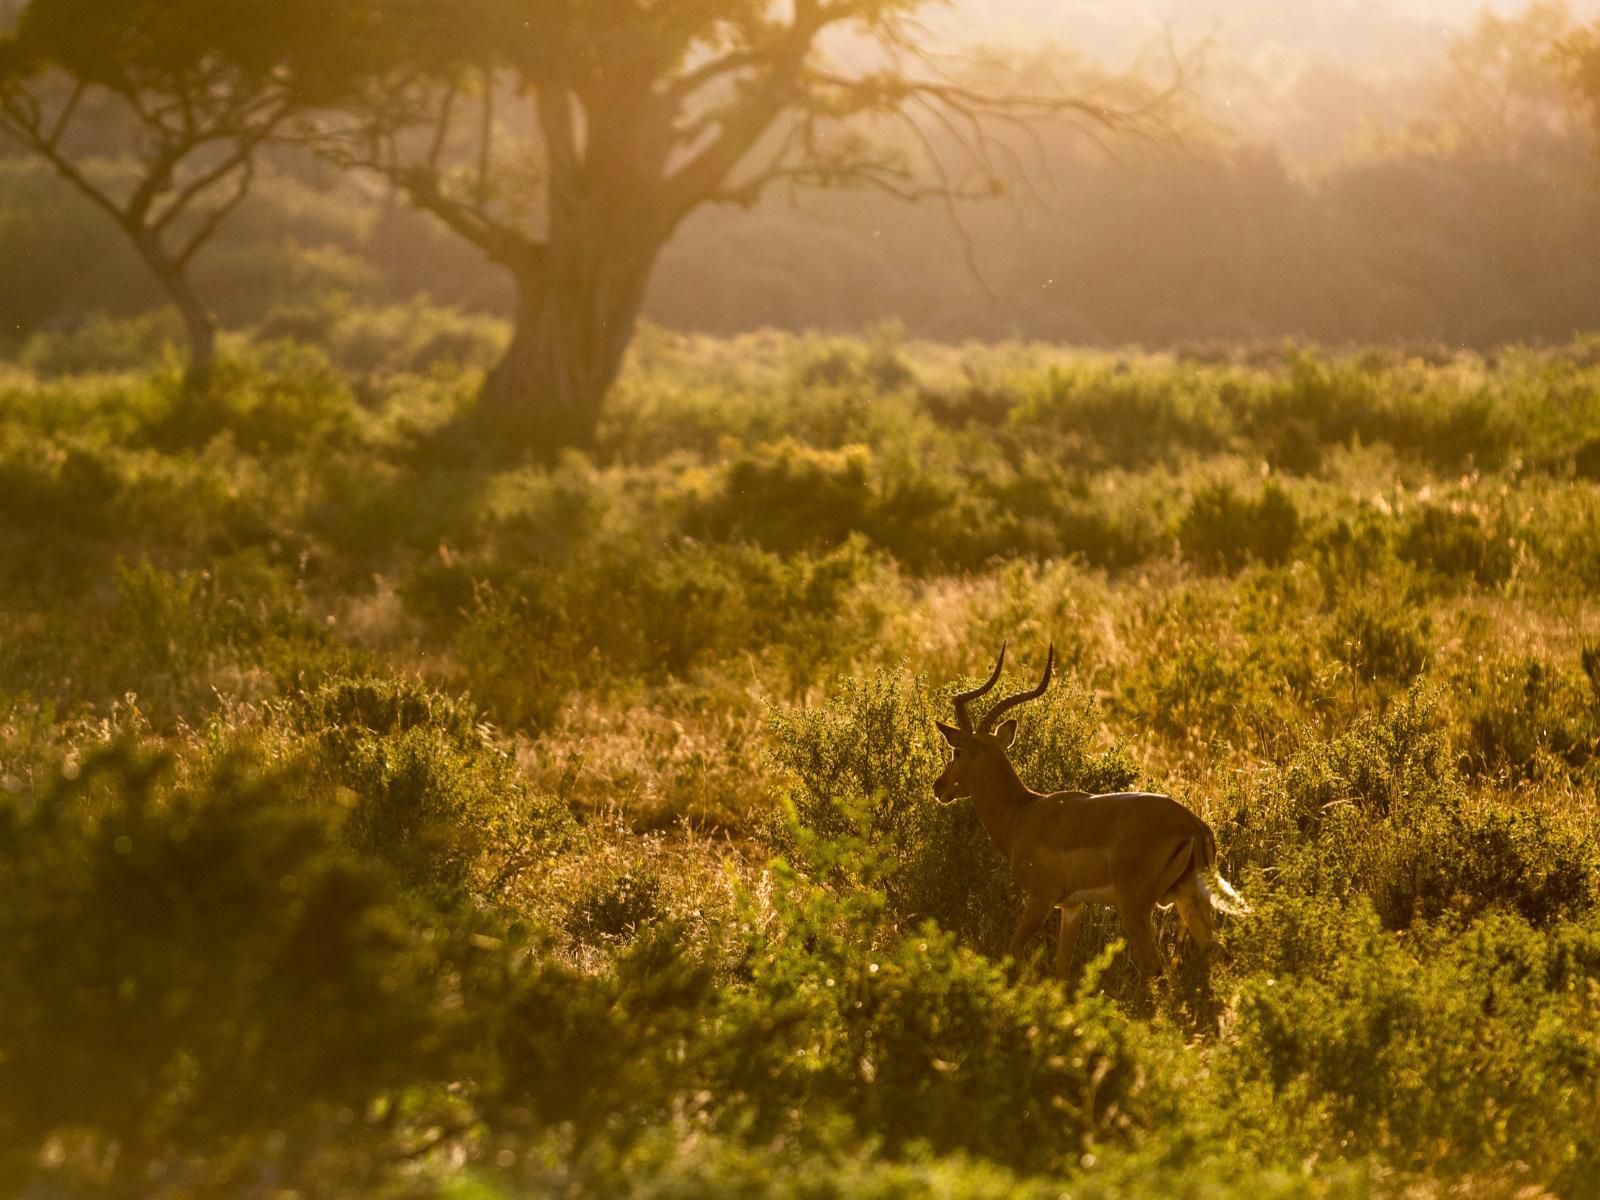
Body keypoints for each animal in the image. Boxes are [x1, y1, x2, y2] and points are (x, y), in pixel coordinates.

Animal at [934, 649, 1241, 979]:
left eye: (956, 752)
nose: (939, 786)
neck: (1022, 814)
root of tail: (1194, 826)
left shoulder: (1041, 898)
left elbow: (1015, 950)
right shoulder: (1072, 907)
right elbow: (1061, 967)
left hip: (1135, 906)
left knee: (1153, 966)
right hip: (1189, 899)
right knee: (1220, 954)